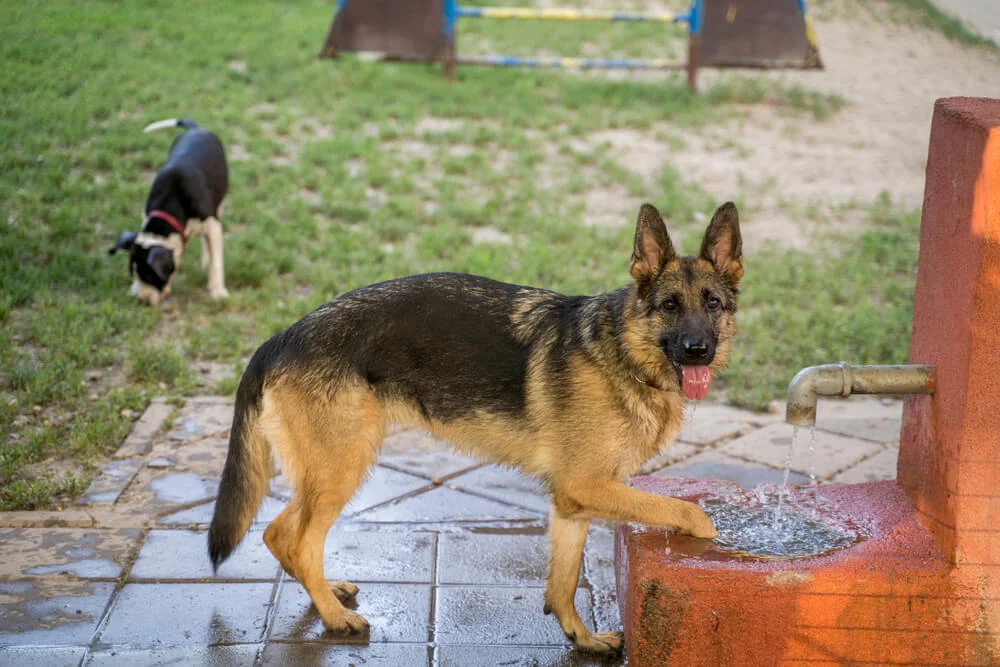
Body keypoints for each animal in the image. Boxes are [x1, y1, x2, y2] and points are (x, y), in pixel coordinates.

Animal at [110, 119, 229, 306]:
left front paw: (218, 291)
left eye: (150, 276)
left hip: (220, 202)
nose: (140, 301)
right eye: (133, 273)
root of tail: (196, 129)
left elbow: (217, 260)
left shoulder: (212, 224)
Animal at [209, 201, 744, 656]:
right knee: (298, 540)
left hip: (328, 472)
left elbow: (564, 581)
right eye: (670, 306)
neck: (625, 354)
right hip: (343, 468)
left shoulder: (572, 501)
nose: (699, 351)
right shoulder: (587, 486)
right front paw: (716, 536)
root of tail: (281, 337)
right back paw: (335, 617)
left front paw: (581, 638)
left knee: (280, 533)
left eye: (713, 304)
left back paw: (326, 592)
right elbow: (685, 510)